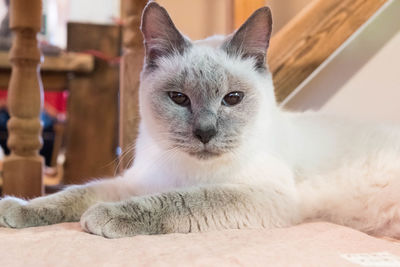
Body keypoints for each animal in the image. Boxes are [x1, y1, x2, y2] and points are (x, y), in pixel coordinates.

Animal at [0, 1, 400, 240]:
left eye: (232, 99)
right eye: (179, 98)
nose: (205, 132)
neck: (188, 170)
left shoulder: (261, 195)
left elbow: (185, 199)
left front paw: (104, 217)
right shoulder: (140, 180)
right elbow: (73, 193)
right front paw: (15, 209)